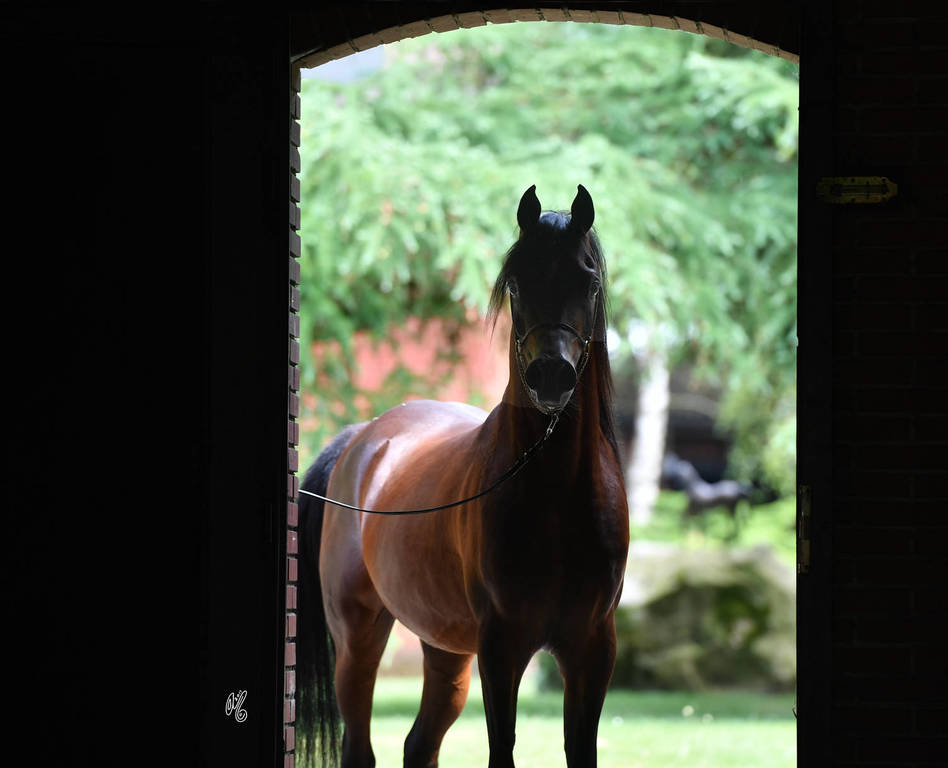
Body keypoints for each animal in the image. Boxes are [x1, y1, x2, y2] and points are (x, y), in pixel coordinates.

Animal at [297, 185, 630, 768]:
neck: (559, 499)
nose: (551, 377)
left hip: (444, 646)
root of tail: (362, 439)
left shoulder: (593, 648)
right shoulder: (501, 646)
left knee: (420, 744)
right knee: (360, 746)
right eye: (516, 282)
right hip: (359, 637)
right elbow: (503, 751)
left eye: (588, 282)